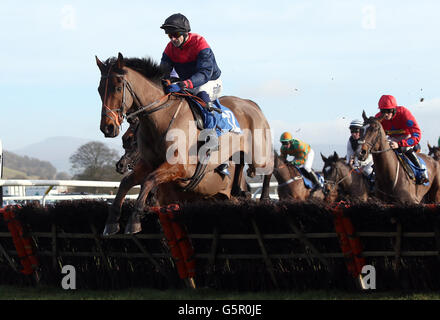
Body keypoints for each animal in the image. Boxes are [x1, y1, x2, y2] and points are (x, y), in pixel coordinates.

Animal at [96, 53, 274, 234]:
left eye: (118, 88)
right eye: (99, 89)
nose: (108, 127)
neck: (161, 118)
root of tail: (251, 104)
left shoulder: (181, 167)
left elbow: (149, 179)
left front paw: (134, 220)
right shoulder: (148, 164)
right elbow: (126, 182)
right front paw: (112, 222)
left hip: (259, 155)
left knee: (269, 166)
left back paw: (265, 197)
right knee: (240, 166)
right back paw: (239, 188)